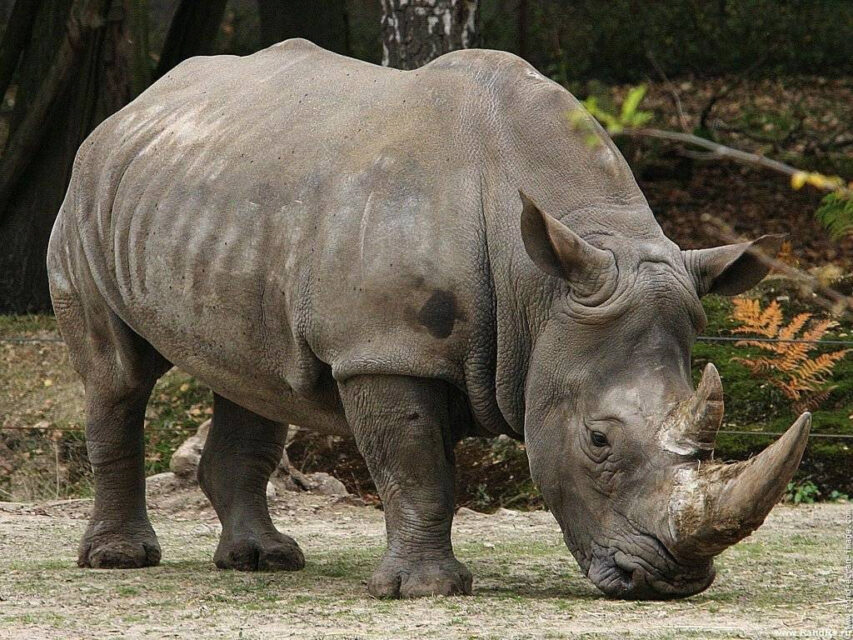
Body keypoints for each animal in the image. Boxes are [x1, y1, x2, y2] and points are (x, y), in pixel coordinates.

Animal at [47, 39, 810, 600]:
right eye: (597, 439)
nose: (669, 580)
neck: (542, 286)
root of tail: (134, 107)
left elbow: (420, 467)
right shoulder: (385, 348)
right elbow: (415, 467)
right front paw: (425, 590)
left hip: (213, 193)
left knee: (256, 378)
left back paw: (264, 561)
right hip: (86, 194)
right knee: (118, 377)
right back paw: (120, 560)